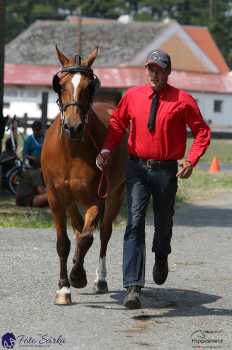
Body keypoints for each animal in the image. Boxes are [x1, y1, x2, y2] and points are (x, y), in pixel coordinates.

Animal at [40, 46, 127, 304]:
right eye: (60, 84)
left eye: (90, 86)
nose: (74, 127)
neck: (71, 151)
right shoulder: (56, 199)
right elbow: (63, 243)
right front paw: (63, 288)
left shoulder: (95, 199)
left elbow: (88, 237)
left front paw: (77, 276)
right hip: (70, 200)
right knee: (78, 229)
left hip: (116, 194)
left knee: (104, 234)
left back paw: (99, 278)